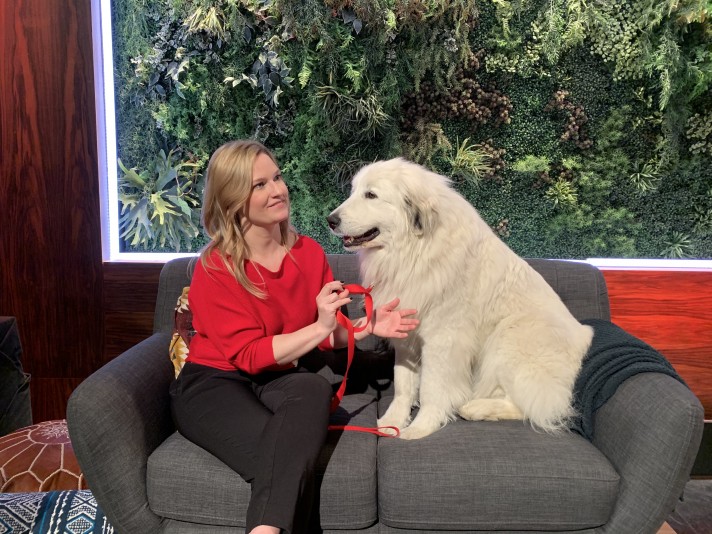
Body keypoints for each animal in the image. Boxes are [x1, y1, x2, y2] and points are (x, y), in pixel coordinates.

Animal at [326, 157, 592, 442]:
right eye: (354, 191)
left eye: (371, 195)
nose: (330, 220)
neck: (415, 251)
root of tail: (584, 336)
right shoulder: (407, 337)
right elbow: (403, 384)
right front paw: (392, 422)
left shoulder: (443, 341)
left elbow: (431, 388)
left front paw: (420, 427)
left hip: (508, 337)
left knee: (535, 406)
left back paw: (477, 408)